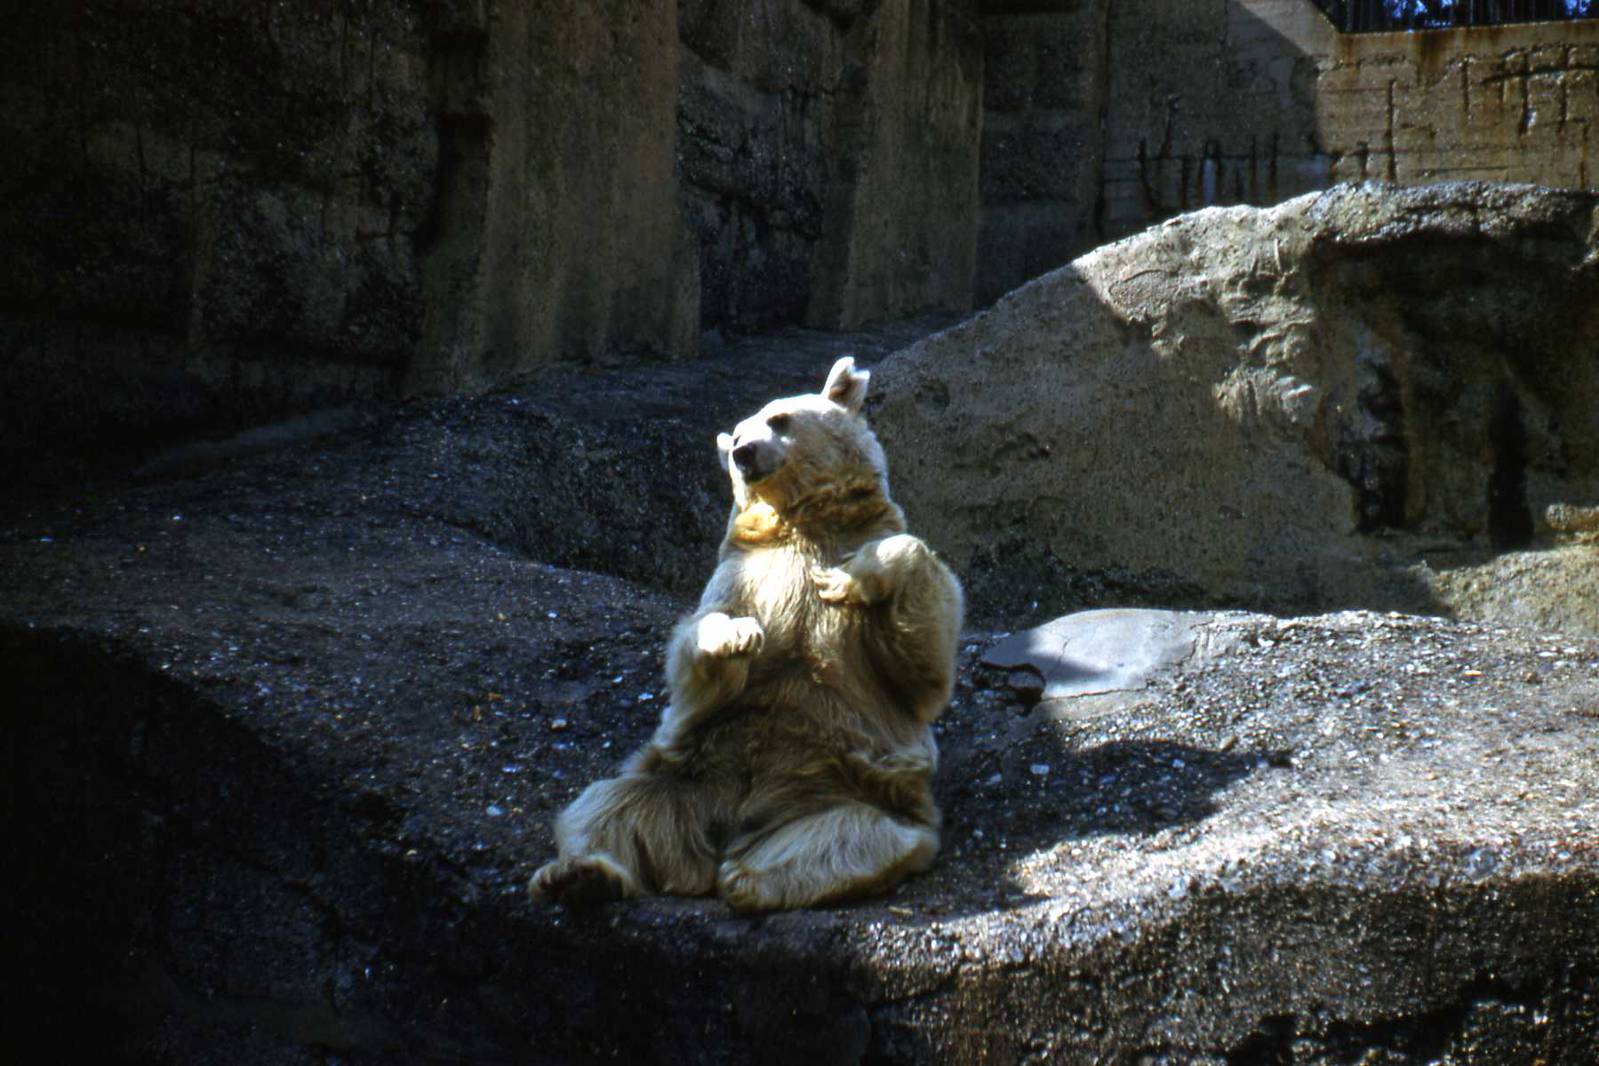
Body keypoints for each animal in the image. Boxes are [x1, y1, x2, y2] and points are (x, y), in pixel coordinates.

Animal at [529, 356, 964, 912]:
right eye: (735, 433)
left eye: (779, 419)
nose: (742, 451)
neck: (802, 526)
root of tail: (728, 830)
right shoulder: (740, 573)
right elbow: (696, 642)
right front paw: (737, 637)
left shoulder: (865, 549)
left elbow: (921, 669)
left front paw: (847, 579)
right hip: (684, 775)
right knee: (608, 807)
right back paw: (582, 875)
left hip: (854, 784)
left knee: (851, 836)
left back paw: (750, 880)